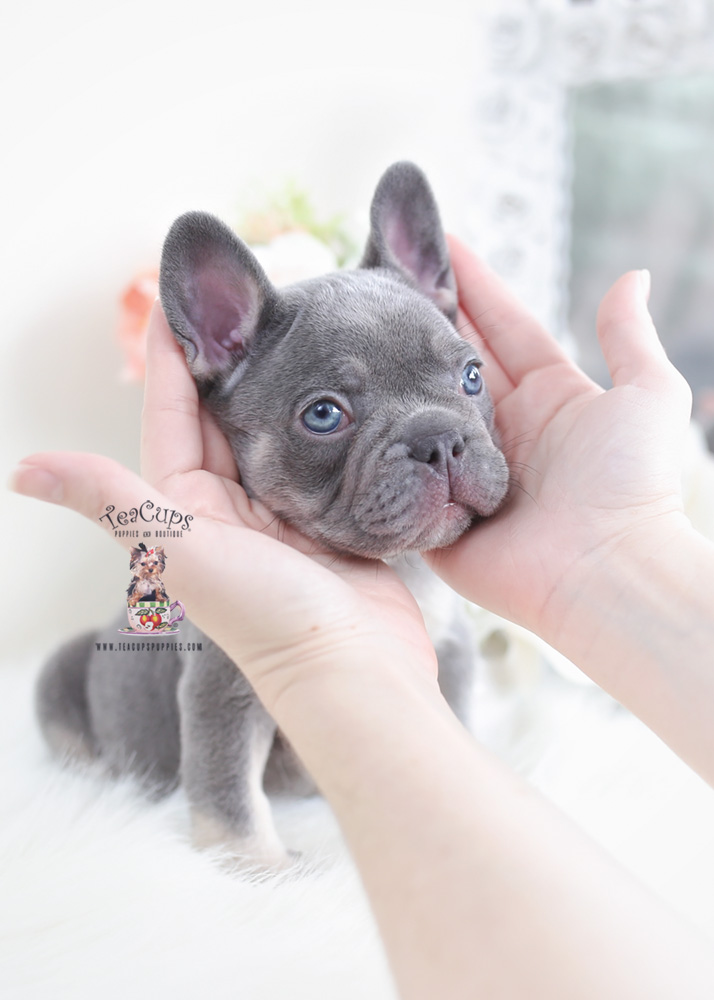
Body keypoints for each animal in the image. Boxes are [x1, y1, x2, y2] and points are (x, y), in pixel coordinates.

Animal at [37, 164, 506, 868]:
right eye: (325, 415)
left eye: (472, 377)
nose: (440, 438)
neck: (398, 566)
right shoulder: (224, 688)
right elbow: (229, 795)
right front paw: (258, 867)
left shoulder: (450, 659)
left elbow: (455, 724)